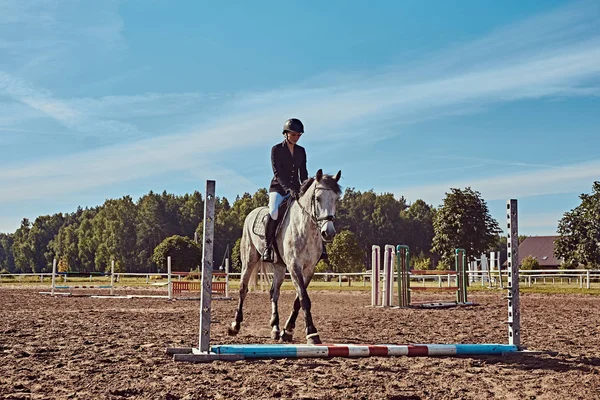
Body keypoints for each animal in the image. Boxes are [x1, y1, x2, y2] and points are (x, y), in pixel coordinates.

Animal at [229, 168, 342, 344]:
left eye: (336, 200)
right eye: (317, 198)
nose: (328, 233)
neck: (306, 229)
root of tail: (251, 213)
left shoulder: (308, 269)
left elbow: (298, 300)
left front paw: (287, 330)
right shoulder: (294, 266)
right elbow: (304, 299)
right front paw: (312, 333)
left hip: (279, 267)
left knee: (274, 293)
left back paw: (275, 328)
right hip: (249, 260)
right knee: (243, 289)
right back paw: (235, 325)